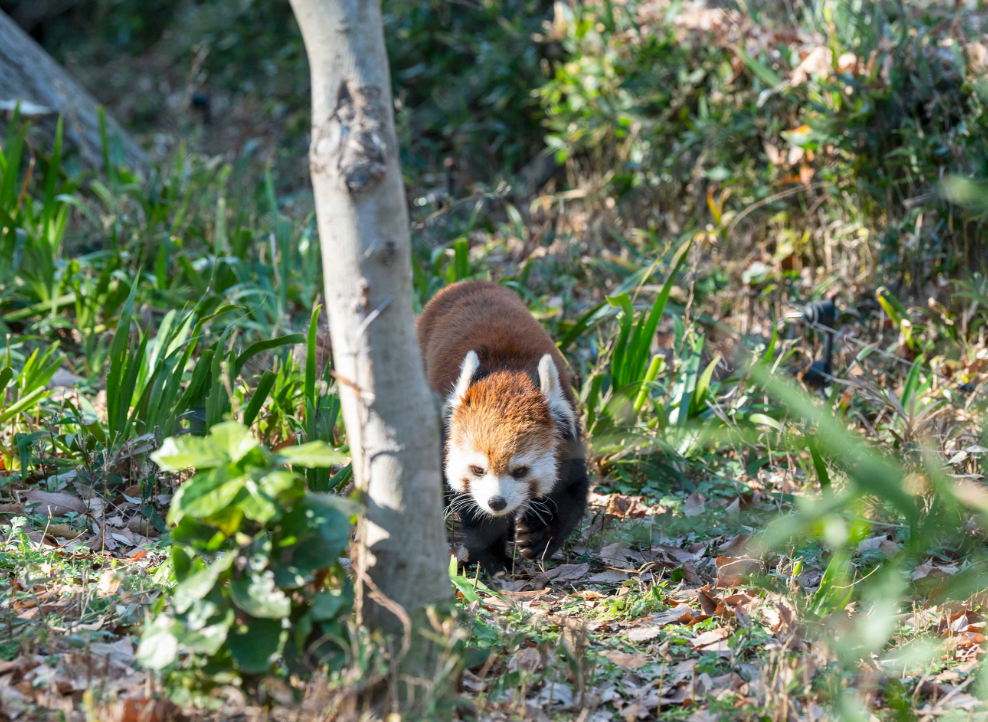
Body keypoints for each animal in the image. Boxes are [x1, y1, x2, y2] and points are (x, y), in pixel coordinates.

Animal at [414, 278, 588, 572]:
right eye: (477, 469)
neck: (508, 373)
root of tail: (468, 282)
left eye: (520, 470)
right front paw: (492, 558)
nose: (497, 502)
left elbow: (570, 491)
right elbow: (473, 507)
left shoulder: (567, 433)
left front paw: (538, 536)